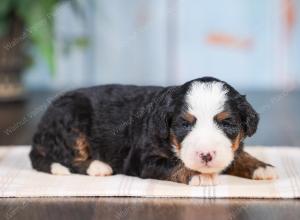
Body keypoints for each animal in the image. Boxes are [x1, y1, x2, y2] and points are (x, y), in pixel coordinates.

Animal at [29, 77, 278, 186]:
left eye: (227, 123)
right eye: (184, 124)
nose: (206, 155)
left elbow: (238, 155)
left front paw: (262, 167)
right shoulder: (142, 159)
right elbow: (174, 165)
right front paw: (198, 175)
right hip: (70, 119)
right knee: (66, 157)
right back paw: (98, 167)